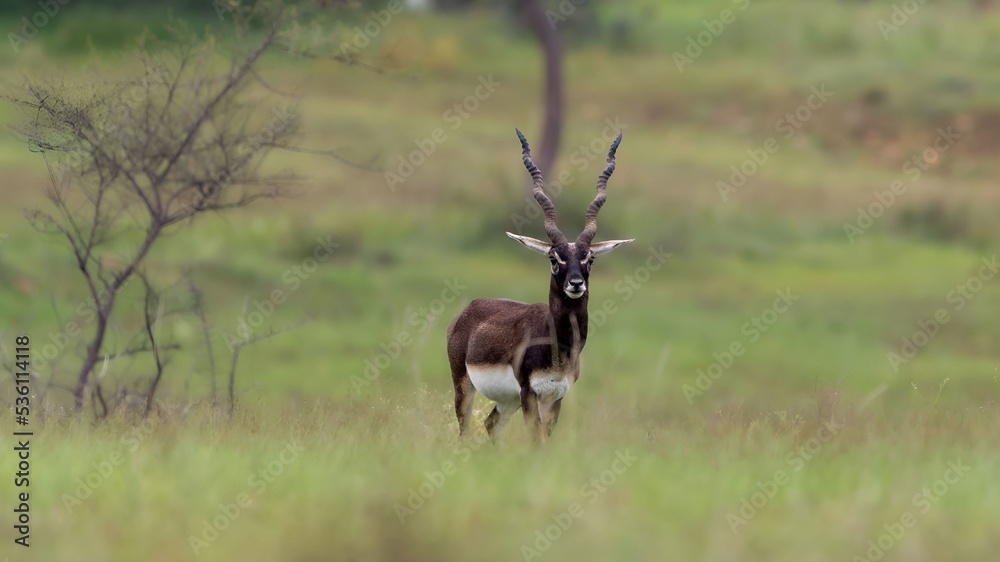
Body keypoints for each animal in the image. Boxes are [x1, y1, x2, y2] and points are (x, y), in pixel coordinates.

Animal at [446, 129, 633, 442]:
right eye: (554, 258)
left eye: (589, 258)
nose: (575, 283)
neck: (558, 346)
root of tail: (468, 310)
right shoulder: (529, 392)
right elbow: (535, 440)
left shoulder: (556, 396)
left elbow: (545, 440)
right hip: (465, 386)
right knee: (464, 429)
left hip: (507, 399)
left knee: (490, 424)